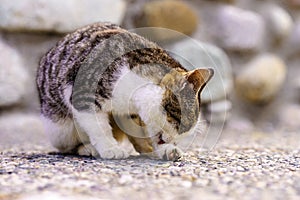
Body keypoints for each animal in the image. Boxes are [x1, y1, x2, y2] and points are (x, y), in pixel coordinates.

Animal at [35, 21, 213, 161]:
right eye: (182, 125)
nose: (173, 141)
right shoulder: (83, 94)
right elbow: (99, 126)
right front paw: (110, 148)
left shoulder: (134, 115)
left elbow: (144, 133)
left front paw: (164, 149)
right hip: (61, 128)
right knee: (66, 145)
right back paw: (87, 148)